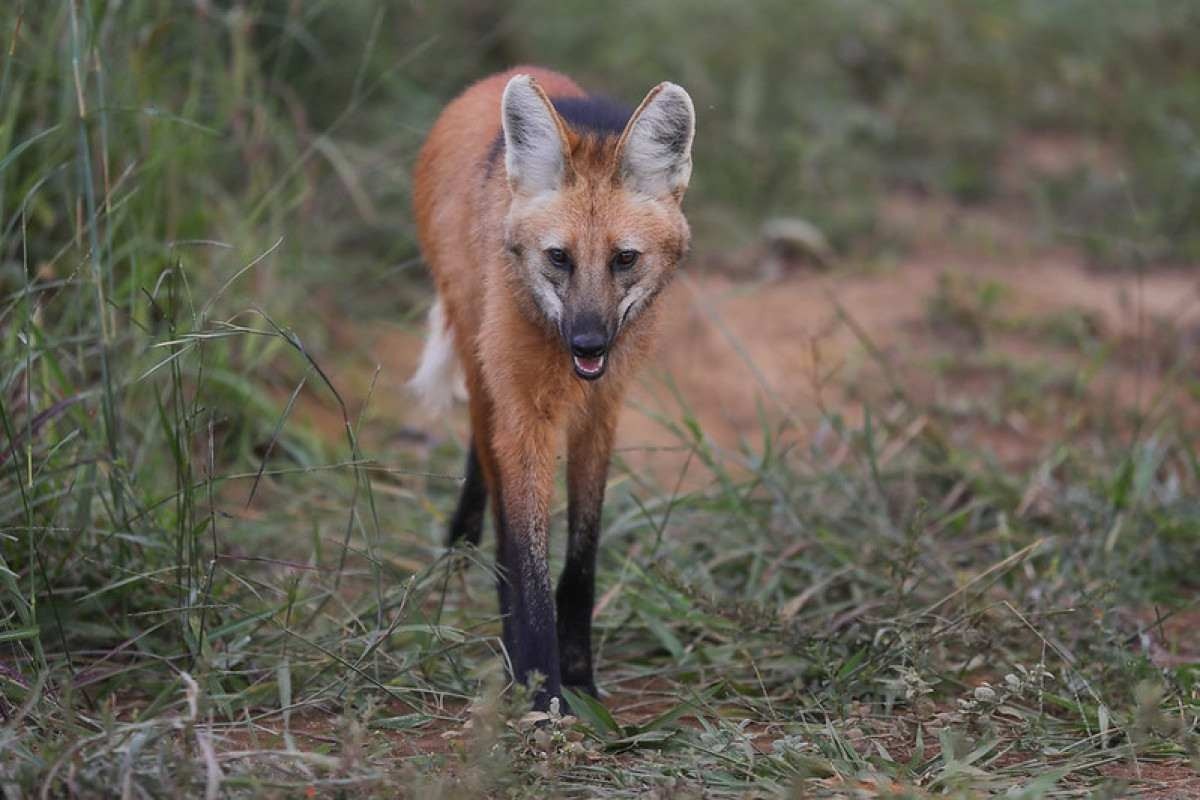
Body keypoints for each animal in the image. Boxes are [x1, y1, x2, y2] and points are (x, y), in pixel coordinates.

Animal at [412, 67, 696, 705]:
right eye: (559, 258)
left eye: (624, 259)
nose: (588, 343)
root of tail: (497, 76)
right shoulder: (525, 417)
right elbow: (529, 561)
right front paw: (542, 691)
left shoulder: (601, 411)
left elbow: (581, 560)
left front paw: (579, 674)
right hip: (478, 358)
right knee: (490, 481)